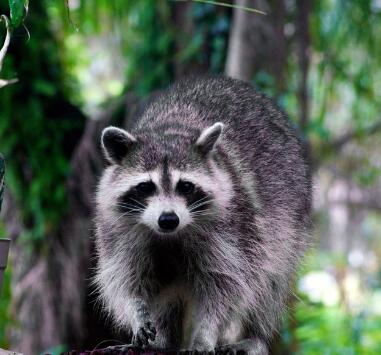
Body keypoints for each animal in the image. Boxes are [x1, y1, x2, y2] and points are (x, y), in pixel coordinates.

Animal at [93, 76, 310, 354]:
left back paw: (255, 335)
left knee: (270, 282)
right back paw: (163, 341)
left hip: (289, 222)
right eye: (146, 187)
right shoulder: (117, 231)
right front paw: (137, 313)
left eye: (185, 186)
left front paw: (205, 335)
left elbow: (226, 285)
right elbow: (125, 279)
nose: (168, 219)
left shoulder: (233, 229)